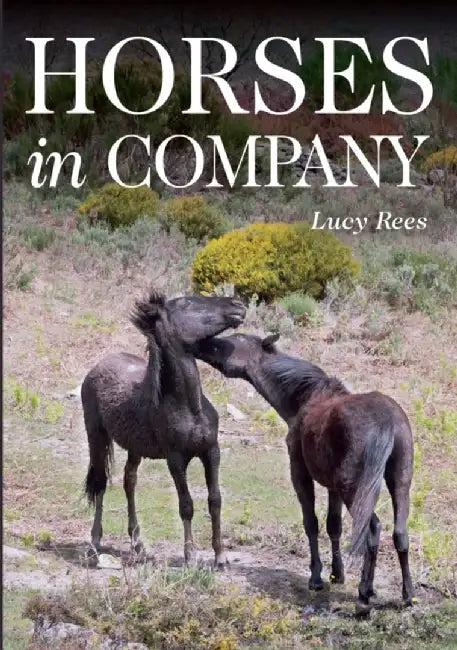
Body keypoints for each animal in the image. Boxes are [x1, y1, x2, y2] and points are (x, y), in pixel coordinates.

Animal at [81, 290, 246, 567]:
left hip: (134, 448)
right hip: (97, 437)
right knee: (100, 483)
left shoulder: (212, 452)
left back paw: (138, 545)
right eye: (188, 302)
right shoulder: (175, 460)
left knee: (129, 482)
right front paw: (190, 556)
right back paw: (94, 542)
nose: (238, 305)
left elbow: (215, 500)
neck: (189, 406)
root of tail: (98, 366)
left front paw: (220, 556)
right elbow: (186, 505)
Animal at [192, 332, 414, 610]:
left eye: (226, 343)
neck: (303, 399)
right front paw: (337, 574)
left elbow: (311, 523)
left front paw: (317, 577)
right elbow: (333, 525)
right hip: (399, 483)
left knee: (372, 529)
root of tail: (387, 422)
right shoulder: (332, 486)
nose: (198, 344)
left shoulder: (300, 473)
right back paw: (408, 595)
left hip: (354, 488)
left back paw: (365, 592)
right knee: (400, 533)